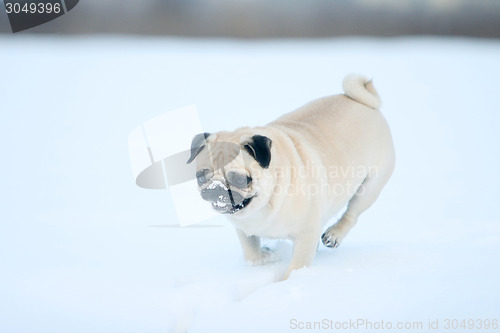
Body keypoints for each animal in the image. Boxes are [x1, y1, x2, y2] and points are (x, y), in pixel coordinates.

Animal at [187, 74, 394, 278]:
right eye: (201, 177)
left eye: (239, 179)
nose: (216, 187)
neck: (265, 202)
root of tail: (365, 103)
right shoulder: (244, 229)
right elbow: (251, 253)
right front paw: (262, 260)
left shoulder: (305, 234)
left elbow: (296, 267)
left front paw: (289, 280)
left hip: (370, 187)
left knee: (352, 213)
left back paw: (334, 234)